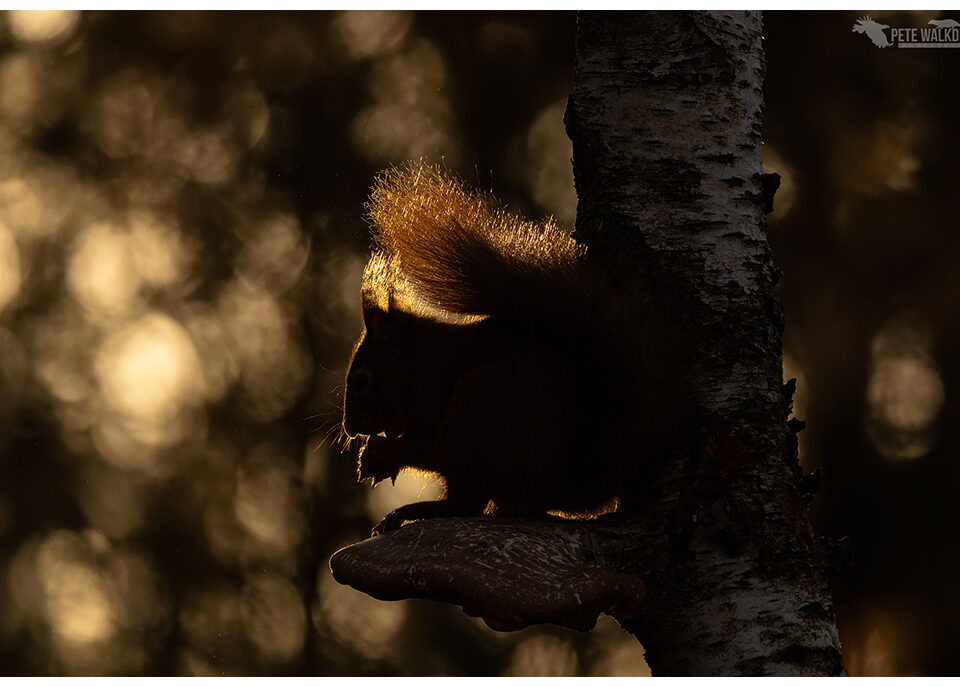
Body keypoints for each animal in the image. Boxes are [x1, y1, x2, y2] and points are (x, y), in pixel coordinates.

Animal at [342, 163, 699, 536]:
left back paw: (408, 511)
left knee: (463, 501)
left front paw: (378, 455)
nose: (350, 428)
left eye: (362, 381)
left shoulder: (431, 390)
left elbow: (419, 444)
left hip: (474, 414)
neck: (415, 363)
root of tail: (562, 488)